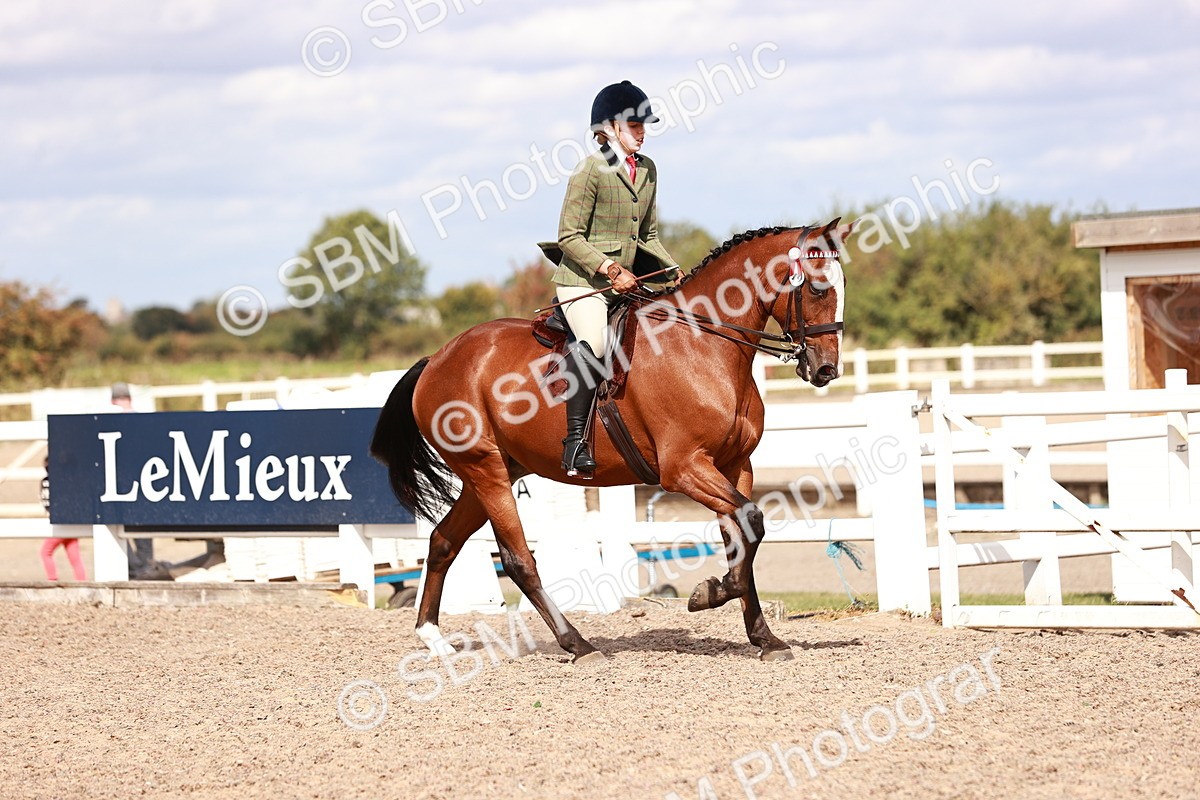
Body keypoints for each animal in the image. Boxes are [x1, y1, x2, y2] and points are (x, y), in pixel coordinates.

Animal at [370, 218, 853, 663]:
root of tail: (437, 358)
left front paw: (764, 638)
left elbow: (745, 535)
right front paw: (709, 593)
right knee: (518, 560)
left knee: (443, 541)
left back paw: (433, 638)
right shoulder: (684, 468)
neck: (704, 345)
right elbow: (750, 523)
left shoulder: (736, 466)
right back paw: (578, 645)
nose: (826, 369)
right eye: (816, 289)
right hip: (485, 470)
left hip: (492, 473)